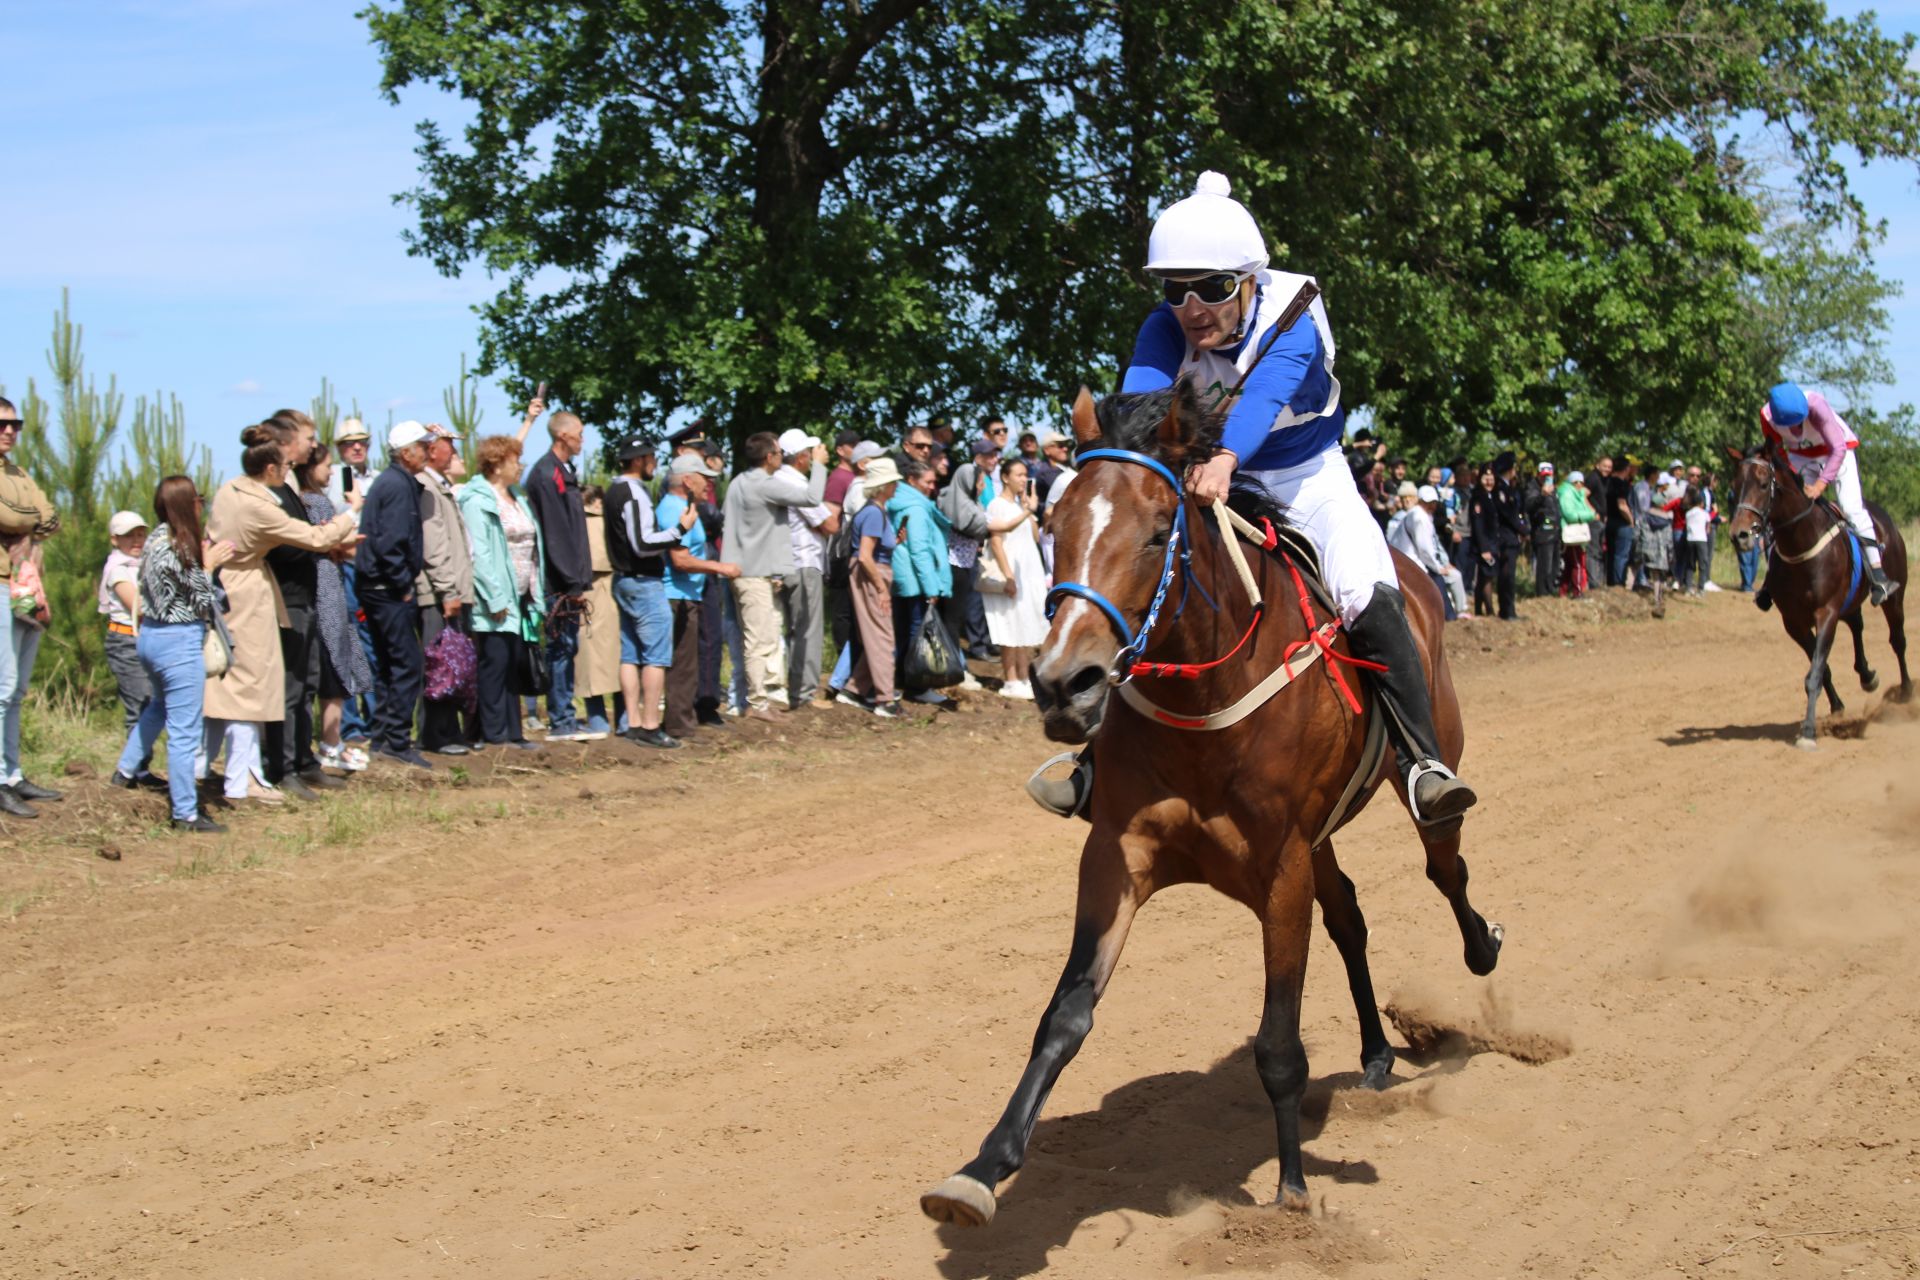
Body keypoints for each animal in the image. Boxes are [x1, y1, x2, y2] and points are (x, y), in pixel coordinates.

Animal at [921, 385, 1505, 1228]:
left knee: (1444, 867)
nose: (1064, 683)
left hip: (1422, 772)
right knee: (1351, 916)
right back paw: (1373, 1053)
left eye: (1156, 532)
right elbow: (1063, 1018)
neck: (1202, 702)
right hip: (1322, 837)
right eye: (1054, 527)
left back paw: (1481, 949)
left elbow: (1278, 1044)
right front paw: (981, 1170)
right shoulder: (1118, 854)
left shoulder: (1283, 866)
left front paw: (1291, 1189)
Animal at [1728, 441, 1904, 744]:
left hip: (1894, 596)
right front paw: (1837, 707)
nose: (1739, 534)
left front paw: (1808, 731)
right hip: (1850, 601)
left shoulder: (1827, 612)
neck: (1801, 543)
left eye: (1762, 484)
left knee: (1898, 640)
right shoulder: (1794, 622)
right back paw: (1867, 675)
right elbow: (1821, 669)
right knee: (1857, 624)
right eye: (1735, 484)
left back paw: (1906, 693)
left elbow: (1816, 671)